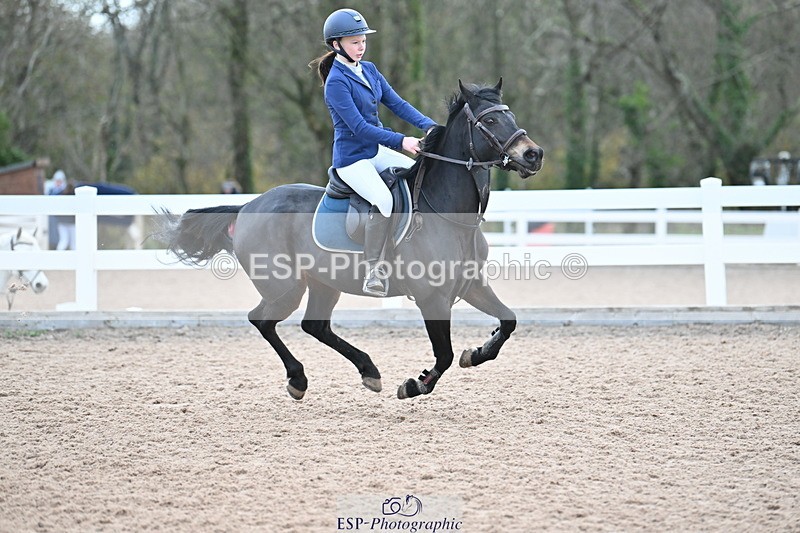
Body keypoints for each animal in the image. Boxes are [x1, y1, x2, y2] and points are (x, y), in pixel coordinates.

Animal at [158, 79, 543, 399]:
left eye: (510, 115)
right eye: (489, 122)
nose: (533, 154)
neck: (449, 215)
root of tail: (248, 206)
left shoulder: (472, 285)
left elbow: (508, 322)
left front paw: (476, 353)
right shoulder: (431, 297)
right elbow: (444, 355)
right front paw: (415, 384)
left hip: (323, 283)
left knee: (314, 325)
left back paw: (367, 371)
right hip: (284, 287)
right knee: (262, 320)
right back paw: (299, 379)